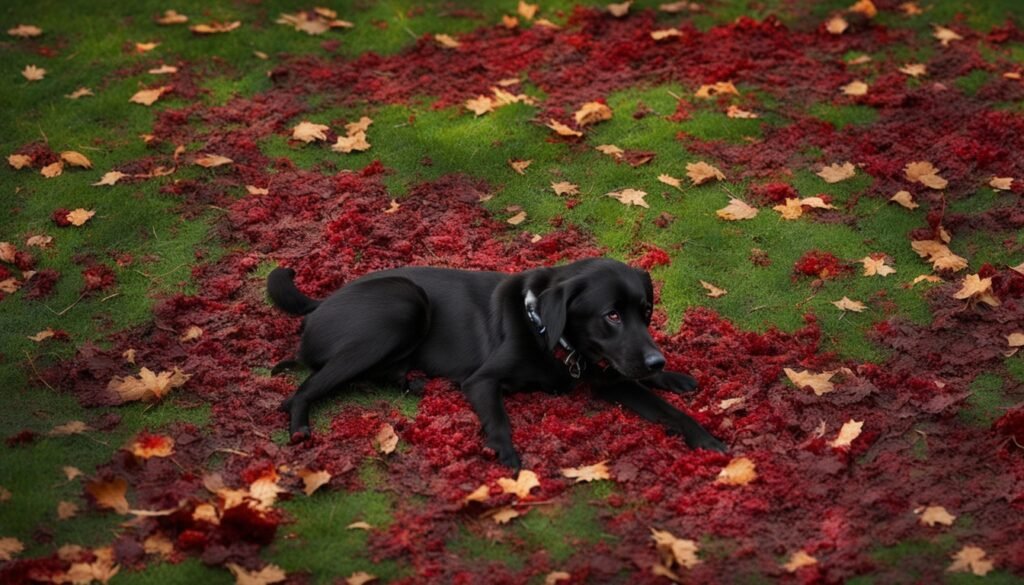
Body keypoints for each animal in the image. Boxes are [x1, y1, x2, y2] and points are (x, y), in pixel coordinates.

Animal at [268, 258, 724, 469]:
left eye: (645, 312)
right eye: (611, 315)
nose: (657, 360)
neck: (546, 332)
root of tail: (320, 303)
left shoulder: (612, 377)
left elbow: (668, 410)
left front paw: (703, 434)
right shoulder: (482, 381)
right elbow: (499, 418)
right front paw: (506, 454)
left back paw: (410, 382)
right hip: (403, 302)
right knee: (302, 389)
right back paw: (300, 426)